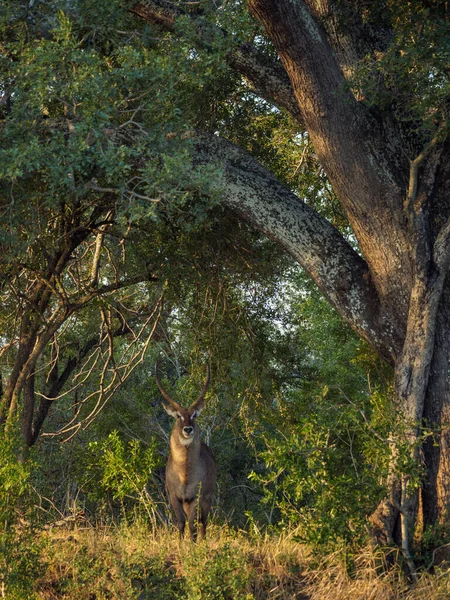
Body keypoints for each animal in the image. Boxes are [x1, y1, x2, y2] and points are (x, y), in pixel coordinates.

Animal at [156, 364, 217, 540]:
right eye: (178, 416)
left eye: (194, 415)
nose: (188, 429)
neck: (184, 473)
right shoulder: (174, 496)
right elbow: (181, 523)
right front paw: (180, 543)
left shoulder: (195, 497)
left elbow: (191, 524)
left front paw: (193, 544)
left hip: (207, 498)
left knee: (203, 522)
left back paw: (203, 541)